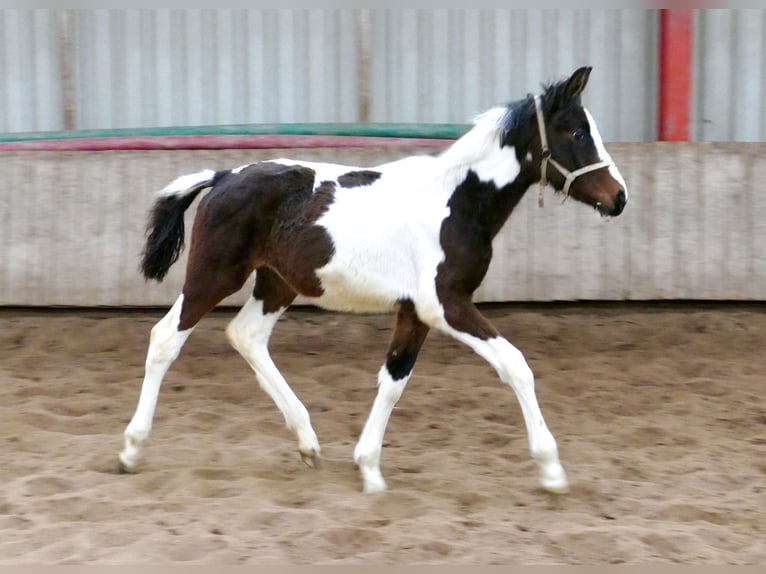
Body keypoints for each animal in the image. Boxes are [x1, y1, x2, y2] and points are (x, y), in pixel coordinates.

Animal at [115, 67, 632, 496]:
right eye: (577, 132)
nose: (620, 198)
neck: (456, 202)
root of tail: (223, 176)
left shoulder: (415, 312)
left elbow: (394, 381)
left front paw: (369, 469)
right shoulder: (446, 304)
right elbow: (516, 365)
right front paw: (552, 469)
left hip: (277, 283)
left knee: (247, 335)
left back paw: (308, 443)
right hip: (213, 275)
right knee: (165, 338)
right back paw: (130, 449)